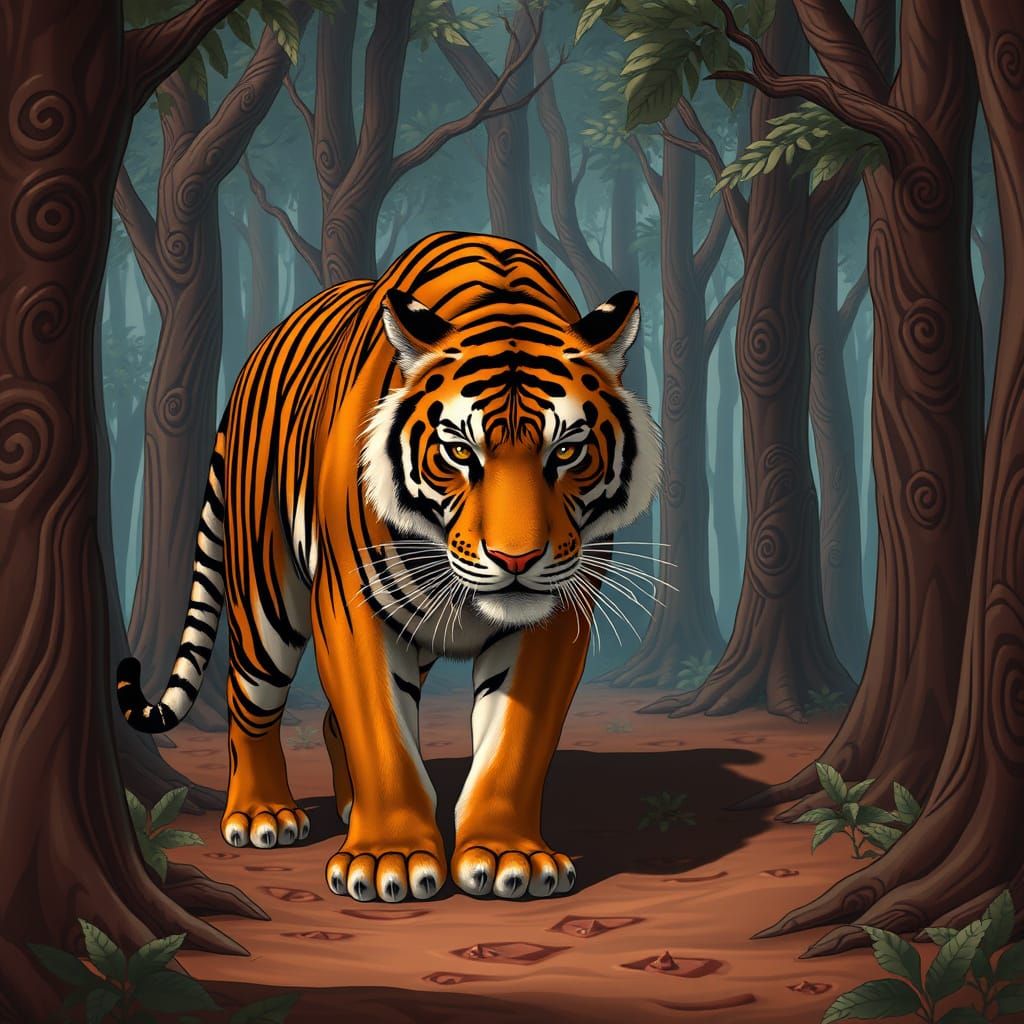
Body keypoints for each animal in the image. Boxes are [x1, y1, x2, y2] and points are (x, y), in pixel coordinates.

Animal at [116, 231, 660, 902]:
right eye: (459, 451)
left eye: (566, 452)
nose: (516, 558)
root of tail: (249, 364)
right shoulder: (353, 602)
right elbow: (380, 730)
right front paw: (389, 859)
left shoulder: (555, 614)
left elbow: (514, 741)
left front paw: (509, 856)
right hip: (268, 602)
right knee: (249, 699)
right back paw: (262, 813)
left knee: (329, 716)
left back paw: (347, 805)